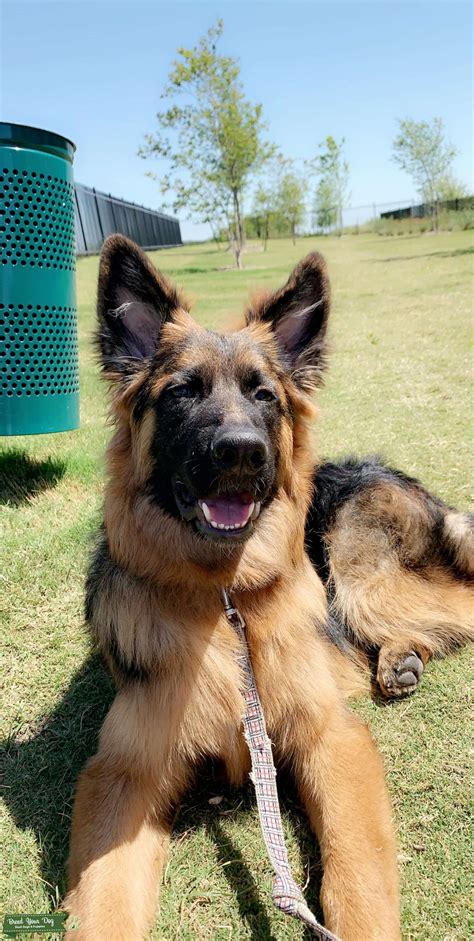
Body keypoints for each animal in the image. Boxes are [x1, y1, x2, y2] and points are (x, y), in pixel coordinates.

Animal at [65, 235, 472, 940]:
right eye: (182, 392)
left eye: (264, 396)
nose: (241, 452)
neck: (224, 599)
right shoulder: (125, 776)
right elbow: (102, 903)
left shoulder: (329, 739)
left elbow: (356, 878)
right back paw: (400, 661)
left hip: (360, 577)